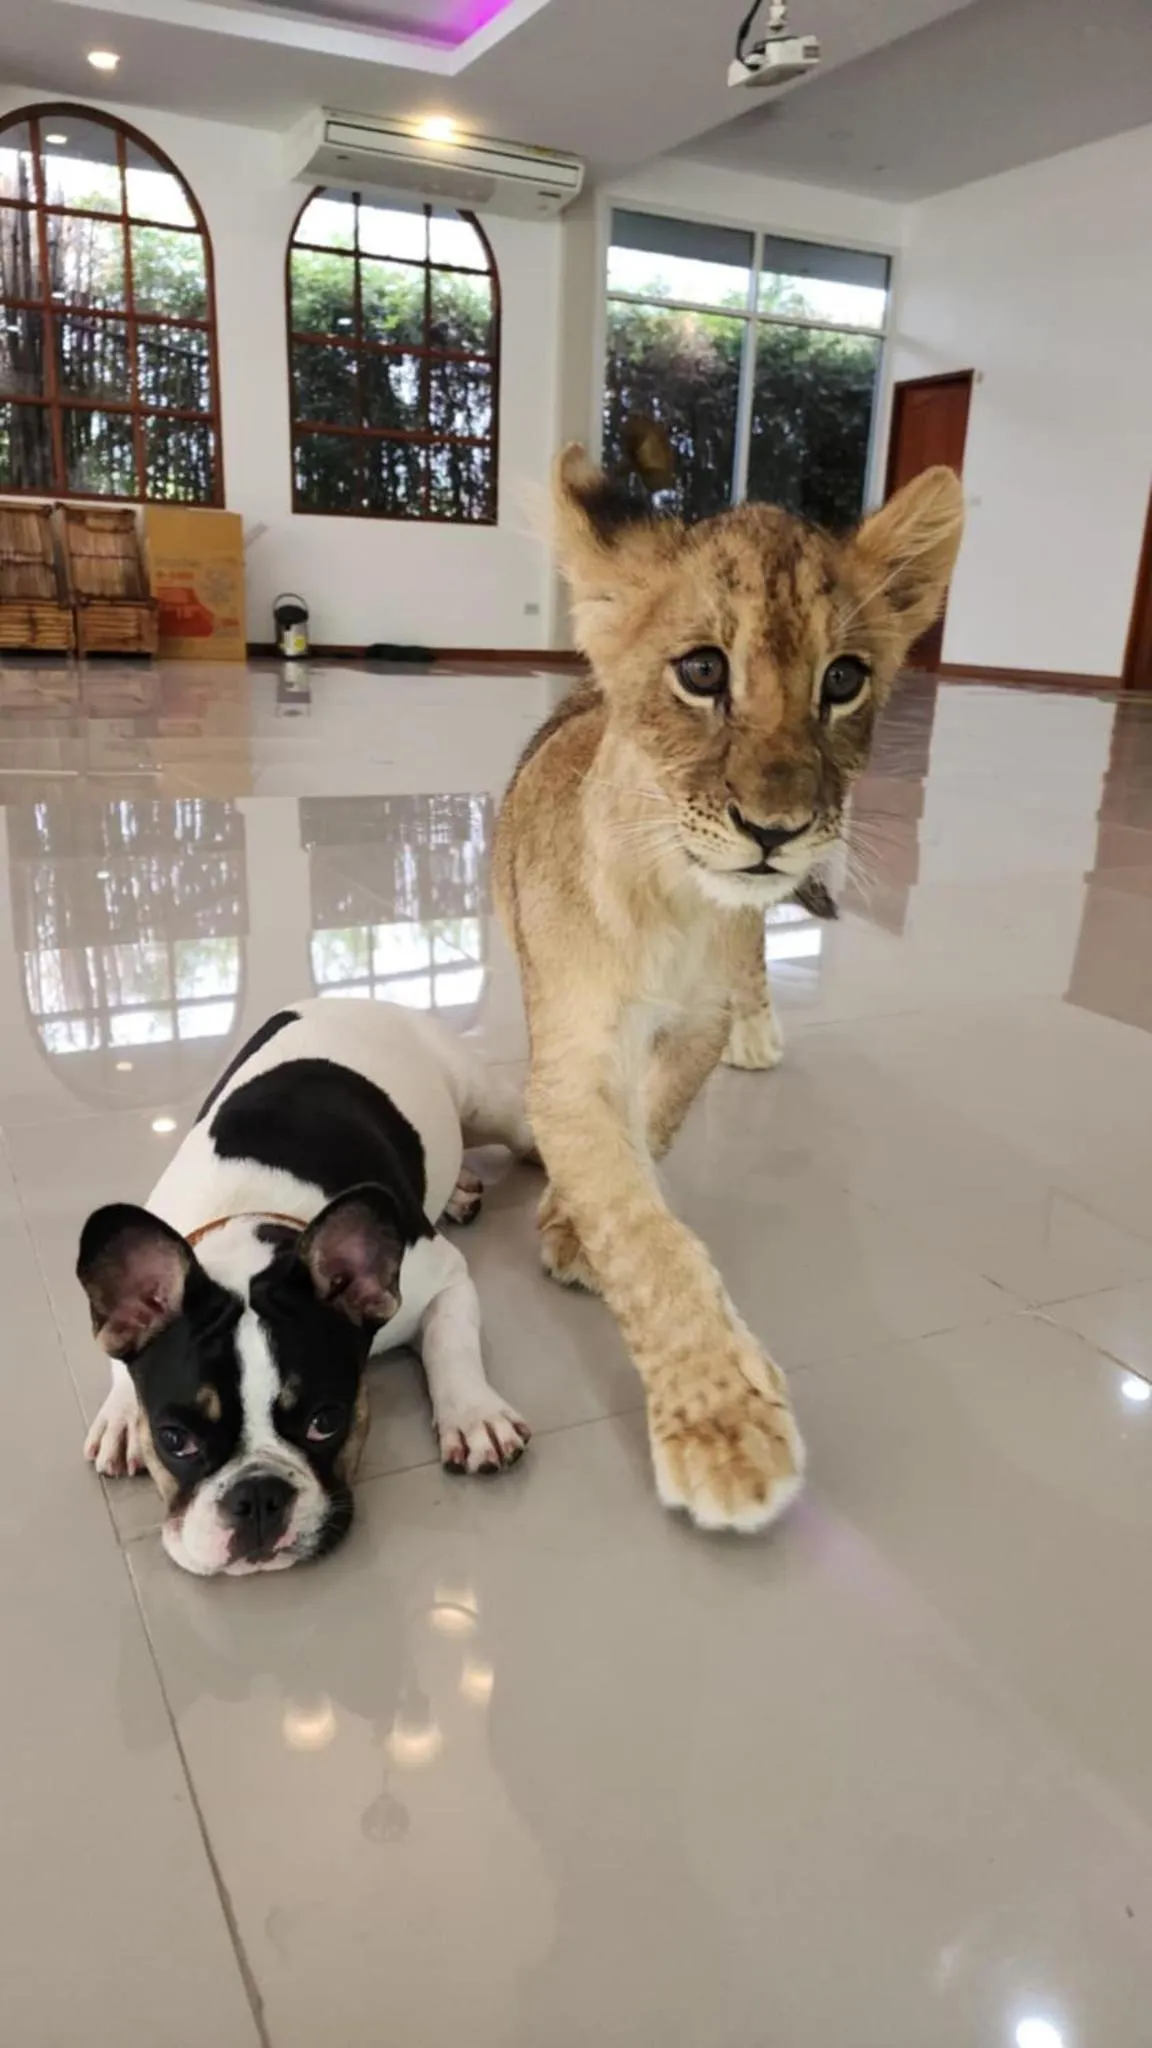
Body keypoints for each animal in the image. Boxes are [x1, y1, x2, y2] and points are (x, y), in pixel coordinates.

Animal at [494, 446, 964, 1533]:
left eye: (844, 680)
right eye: (702, 671)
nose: (775, 830)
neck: (672, 899)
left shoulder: (696, 1021)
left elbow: (656, 1127)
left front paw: (571, 1226)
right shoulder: (568, 1057)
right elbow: (640, 1225)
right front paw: (724, 1431)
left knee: (756, 957)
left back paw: (763, 1028)